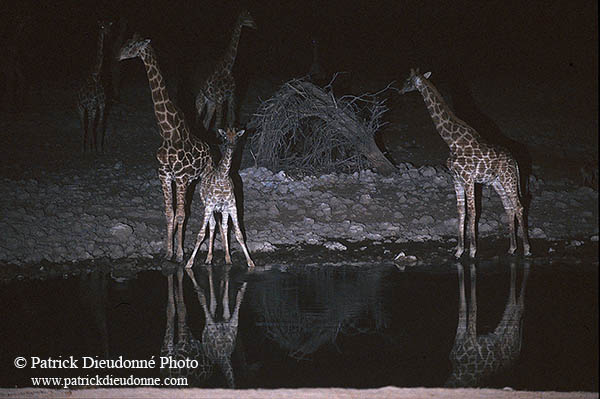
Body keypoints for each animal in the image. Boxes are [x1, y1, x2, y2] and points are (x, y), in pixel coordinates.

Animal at [77, 19, 112, 153]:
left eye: (108, 26)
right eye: (101, 26)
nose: (108, 33)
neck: (95, 75)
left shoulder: (98, 106)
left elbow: (97, 126)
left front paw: (97, 148)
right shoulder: (92, 106)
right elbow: (91, 126)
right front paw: (92, 148)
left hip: (90, 108)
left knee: (90, 125)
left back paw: (91, 147)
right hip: (82, 107)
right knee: (85, 125)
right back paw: (85, 148)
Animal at [118, 35, 213, 262]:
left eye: (132, 45)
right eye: (126, 41)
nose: (118, 55)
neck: (168, 133)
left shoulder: (180, 177)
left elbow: (181, 214)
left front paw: (179, 254)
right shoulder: (165, 175)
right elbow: (170, 213)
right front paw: (168, 252)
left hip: (202, 177)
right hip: (189, 182)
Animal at [398, 69, 528, 258]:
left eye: (408, 81)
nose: (399, 90)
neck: (452, 141)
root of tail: (515, 161)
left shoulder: (468, 179)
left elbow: (473, 212)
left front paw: (472, 250)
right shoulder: (456, 179)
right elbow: (461, 212)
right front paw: (459, 250)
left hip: (508, 179)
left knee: (519, 206)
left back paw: (526, 248)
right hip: (497, 182)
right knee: (509, 208)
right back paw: (511, 248)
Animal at [446, 260, 528, 390]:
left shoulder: (468, 339)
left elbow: (470, 305)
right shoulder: (461, 337)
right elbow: (464, 305)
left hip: (510, 333)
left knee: (519, 306)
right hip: (504, 330)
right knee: (512, 304)